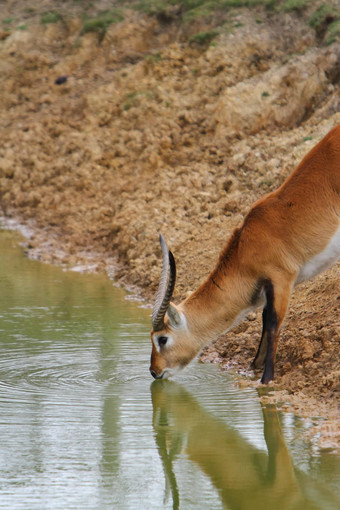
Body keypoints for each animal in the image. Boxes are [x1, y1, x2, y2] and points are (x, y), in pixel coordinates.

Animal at [150, 125, 340, 384]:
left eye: (162, 338)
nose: (154, 371)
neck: (245, 246)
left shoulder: (281, 280)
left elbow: (272, 323)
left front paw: (266, 379)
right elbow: (264, 320)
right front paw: (254, 367)